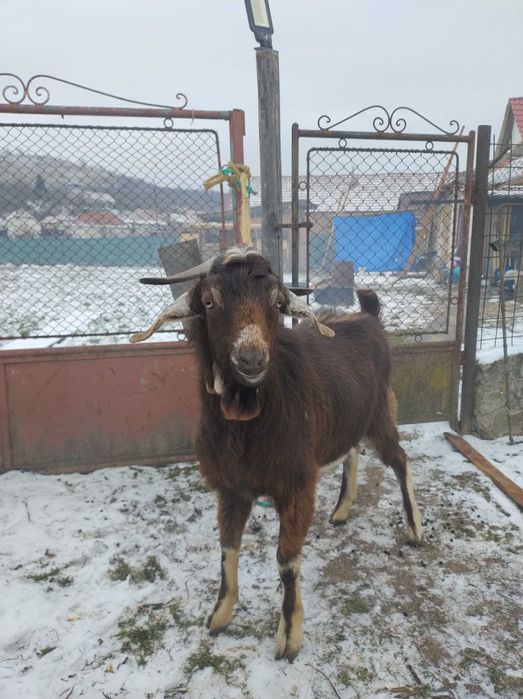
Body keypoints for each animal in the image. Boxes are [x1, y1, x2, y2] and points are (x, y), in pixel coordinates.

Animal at [130, 247, 423, 661]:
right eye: (209, 301)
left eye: (276, 302)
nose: (251, 358)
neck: (248, 421)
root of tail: (369, 317)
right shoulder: (231, 488)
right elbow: (227, 549)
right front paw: (219, 615)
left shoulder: (296, 486)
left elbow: (286, 561)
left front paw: (288, 636)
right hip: (346, 419)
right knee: (352, 451)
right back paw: (341, 510)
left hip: (380, 413)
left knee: (399, 459)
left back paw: (414, 529)